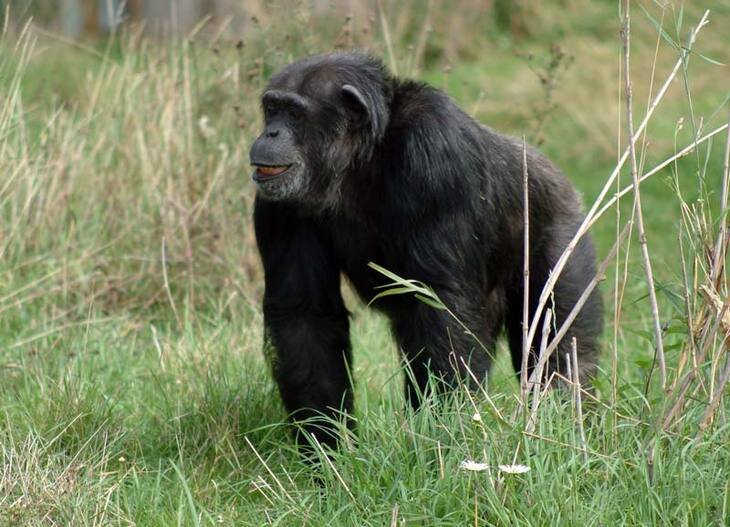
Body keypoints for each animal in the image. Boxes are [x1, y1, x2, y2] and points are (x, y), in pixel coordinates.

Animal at [247, 52, 600, 450]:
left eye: (294, 113)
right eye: (271, 108)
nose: (270, 133)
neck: (360, 160)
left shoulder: (436, 152)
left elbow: (441, 308)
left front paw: (442, 436)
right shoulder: (281, 205)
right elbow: (305, 314)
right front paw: (326, 448)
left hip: (565, 239)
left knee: (558, 348)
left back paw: (565, 424)